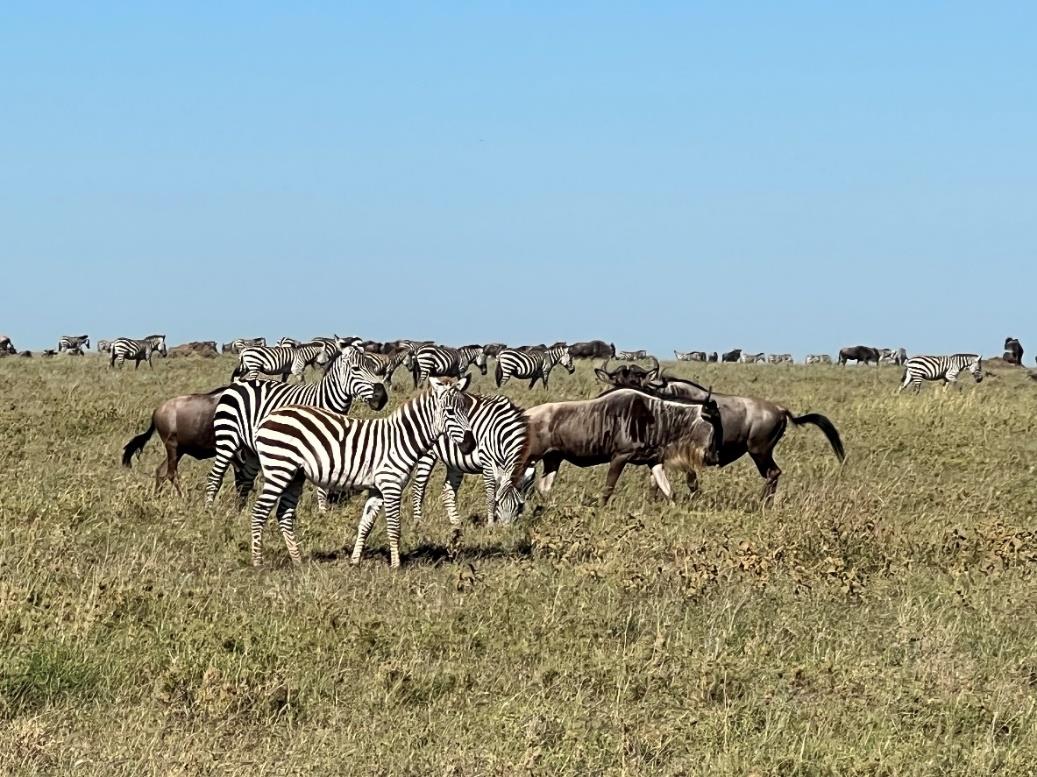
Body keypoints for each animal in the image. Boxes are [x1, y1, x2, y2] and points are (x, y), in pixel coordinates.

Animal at [206, 342, 388, 508]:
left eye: (374, 368)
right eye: (356, 369)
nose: (382, 398)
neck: (325, 402)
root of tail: (237, 384)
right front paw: (322, 512)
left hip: (251, 449)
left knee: (245, 479)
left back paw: (238, 511)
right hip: (227, 436)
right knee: (215, 476)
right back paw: (210, 510)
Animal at [248, 375, 476, 568]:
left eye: (466, 410)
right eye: (450, 411)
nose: (471, 444)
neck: (401, 439)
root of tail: (269, 416)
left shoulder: (377, 489)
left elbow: (365, 525)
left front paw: (355, 561)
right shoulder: (391, 485)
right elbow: (394, 527)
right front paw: (396, 566)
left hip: (295, 474)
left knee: (284, 513)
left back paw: (297, 561)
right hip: (280, 468)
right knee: (259, 511)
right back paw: (258, 562)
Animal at [410, 393, 529, 527]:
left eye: (519, 506)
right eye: (498, 503)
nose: (506, 529)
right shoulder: (487, 462)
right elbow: (490, 496)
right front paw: (490, 525)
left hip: (455, 463)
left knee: (448, 492)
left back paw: (456, 523)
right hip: (427, 453)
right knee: (418, 488)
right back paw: (418, 523)